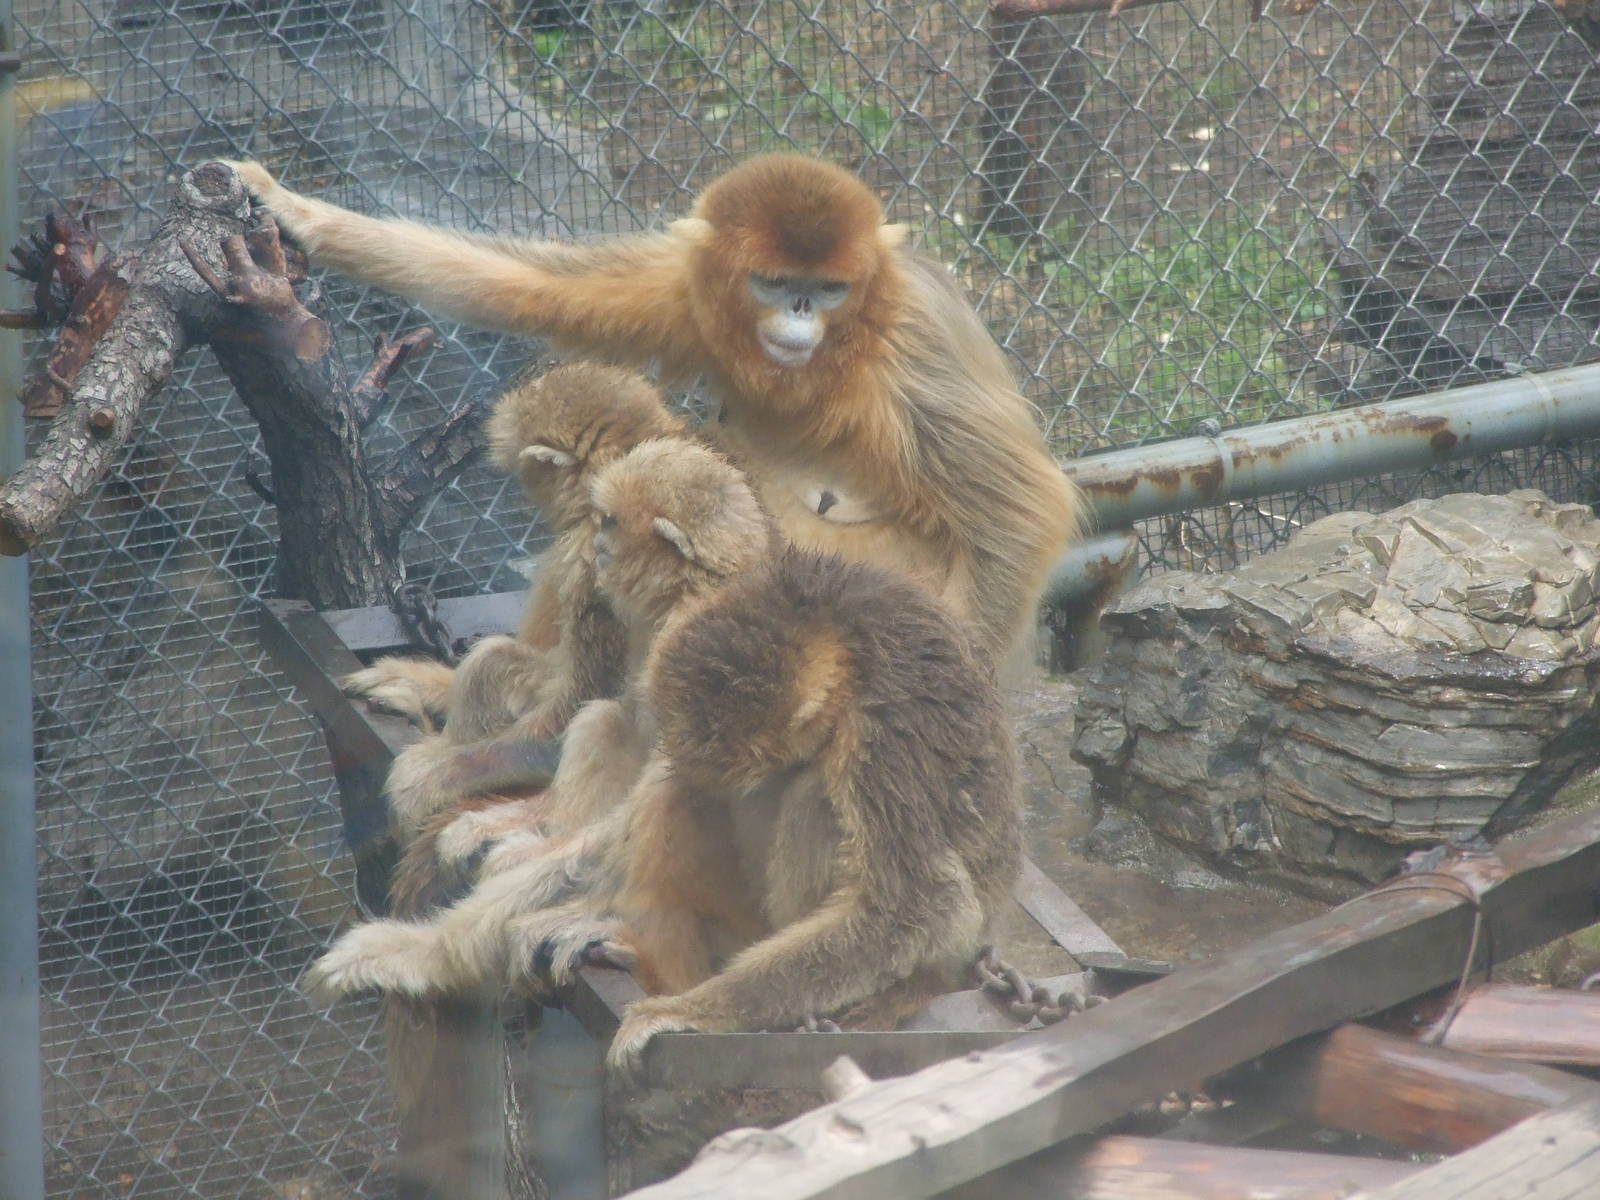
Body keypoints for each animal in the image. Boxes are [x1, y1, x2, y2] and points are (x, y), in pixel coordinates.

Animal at [224, 153, 1081, 671]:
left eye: (831, 290)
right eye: (776, 282)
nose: (803, 309)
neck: (842, 350)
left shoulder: (913, 340)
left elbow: (1023, 511)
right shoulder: (688, 285)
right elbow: (527, 286)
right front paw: (297, 212)